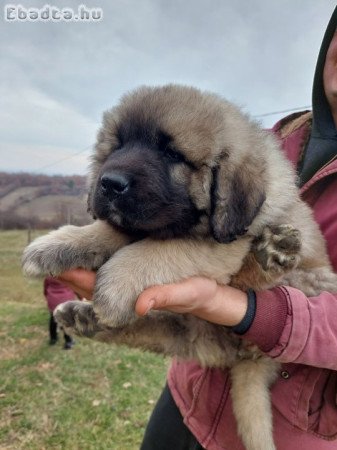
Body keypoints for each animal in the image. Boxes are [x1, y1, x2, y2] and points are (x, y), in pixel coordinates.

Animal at [22, 84, 336, 450]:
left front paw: (116, 282)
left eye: (173, 154)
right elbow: (109, 230)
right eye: (118, 145)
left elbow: (159, 250)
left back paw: (272, 253)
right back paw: (81, 316)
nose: (109, 182)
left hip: (307, 281)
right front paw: (58, 243)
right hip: (183, 330)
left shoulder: (222, 244)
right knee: (149, 328)